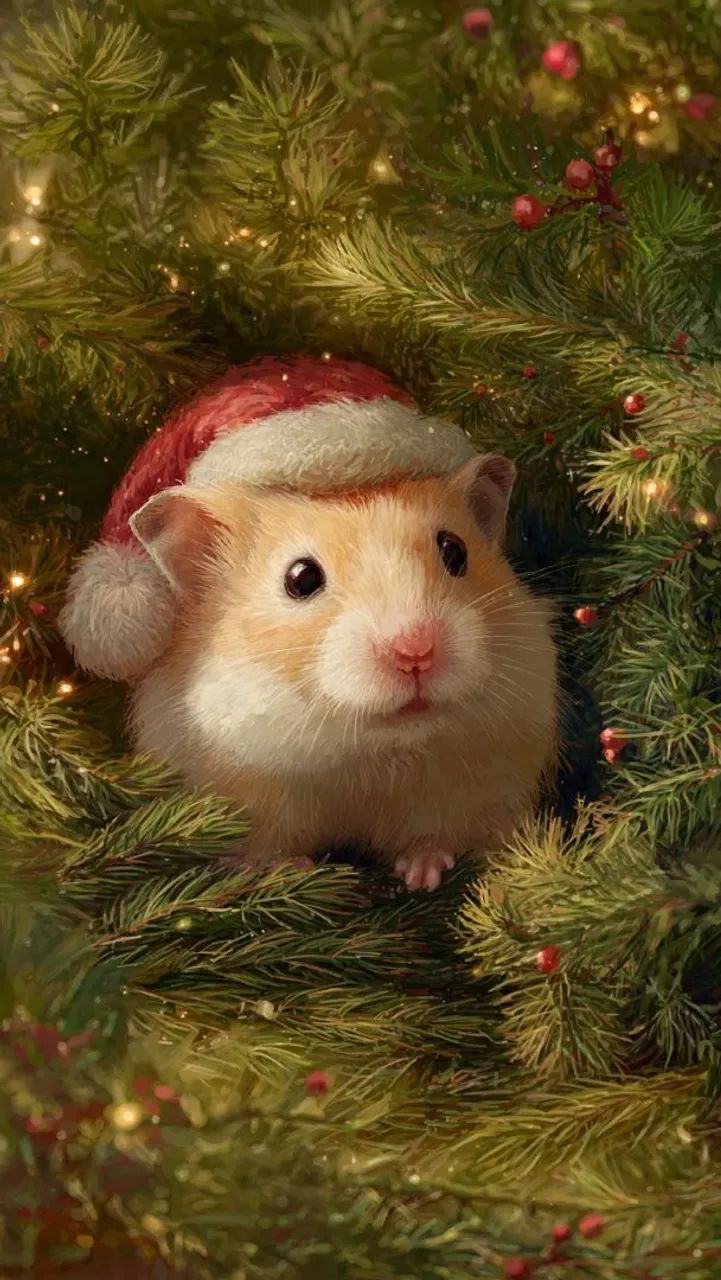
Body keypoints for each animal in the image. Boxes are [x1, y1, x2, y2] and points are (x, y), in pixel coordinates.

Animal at [129, 453, 558, 890]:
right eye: (301, 578)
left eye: (454, 551)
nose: (415, 651)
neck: (378, 749)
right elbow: (267, 840)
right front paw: (276, 867)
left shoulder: (482, 781)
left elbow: (438, 835)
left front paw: (421, 875)